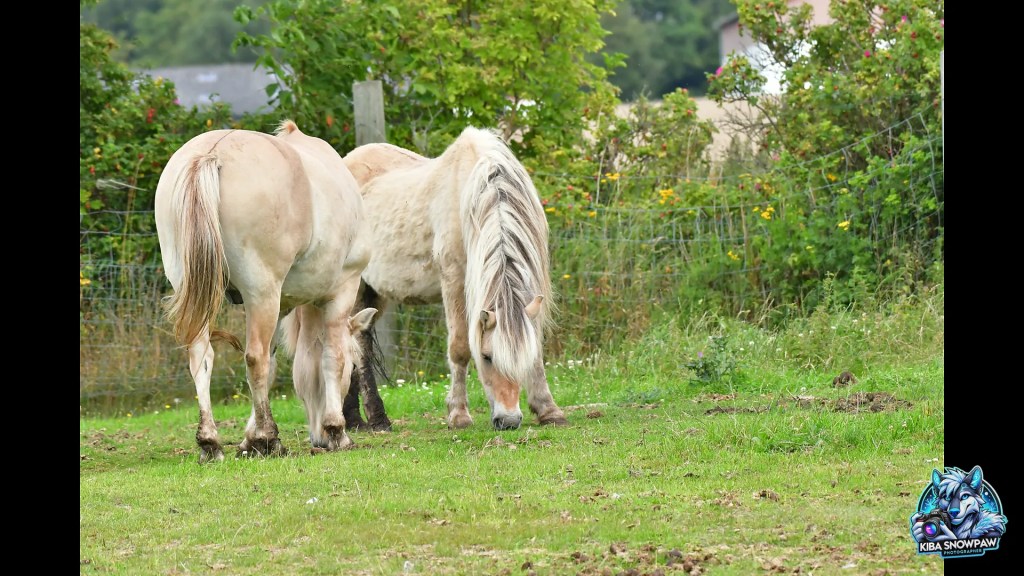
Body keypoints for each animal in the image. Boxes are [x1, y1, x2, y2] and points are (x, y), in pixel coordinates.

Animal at [155, 120, 376, 462]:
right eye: (354, 367)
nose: (319, 437)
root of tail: (210, 153)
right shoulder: (341, 292)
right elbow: (330, 357)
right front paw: (336, 430)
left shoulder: (282, 305)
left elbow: (272, 368)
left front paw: (247, 437)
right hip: (261, 294)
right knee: (254, 357)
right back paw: (267, 439)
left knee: (201, 357)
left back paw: (210, 442)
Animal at [337, 127, 568, 431]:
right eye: (487, 357)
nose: (508, 420)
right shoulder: (454, 281)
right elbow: (459, 347)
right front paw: (458, 414)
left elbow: (536, 348)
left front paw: (548, 409)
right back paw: (374, 418)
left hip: (373, 292)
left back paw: (356, 419)